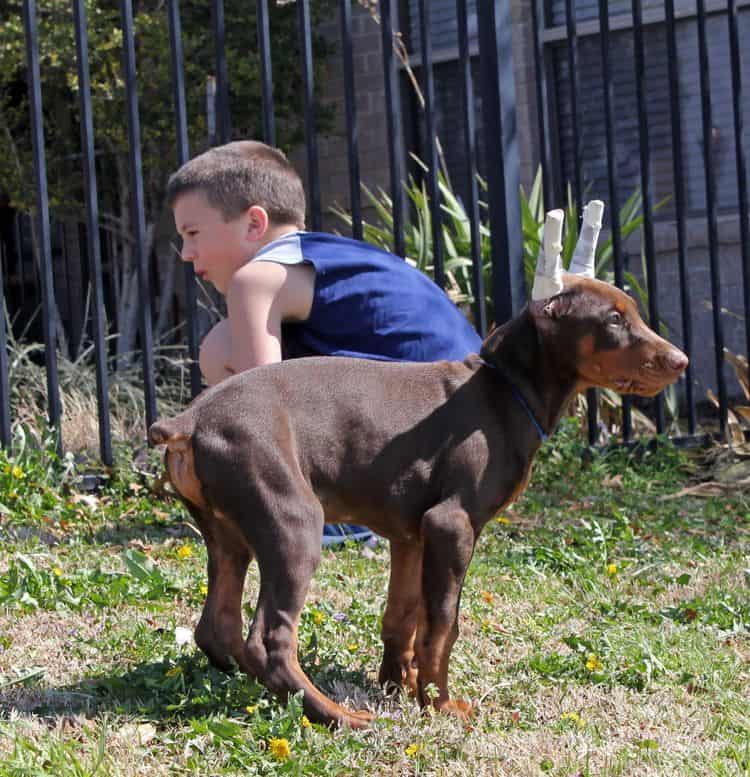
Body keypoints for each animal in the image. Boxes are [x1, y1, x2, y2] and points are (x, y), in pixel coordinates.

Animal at [150, 205, 692, 728]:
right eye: (613, 320)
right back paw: (340, 716)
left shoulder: (411, 536)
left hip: (228, 533)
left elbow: (403, 616)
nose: (681, 361)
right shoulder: (451, 524)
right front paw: (439, 704)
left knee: (217, 628)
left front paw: (399, 687)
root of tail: (190, 420)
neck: (504, 390)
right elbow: (443, 624)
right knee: (269, 640)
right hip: (292, 520)